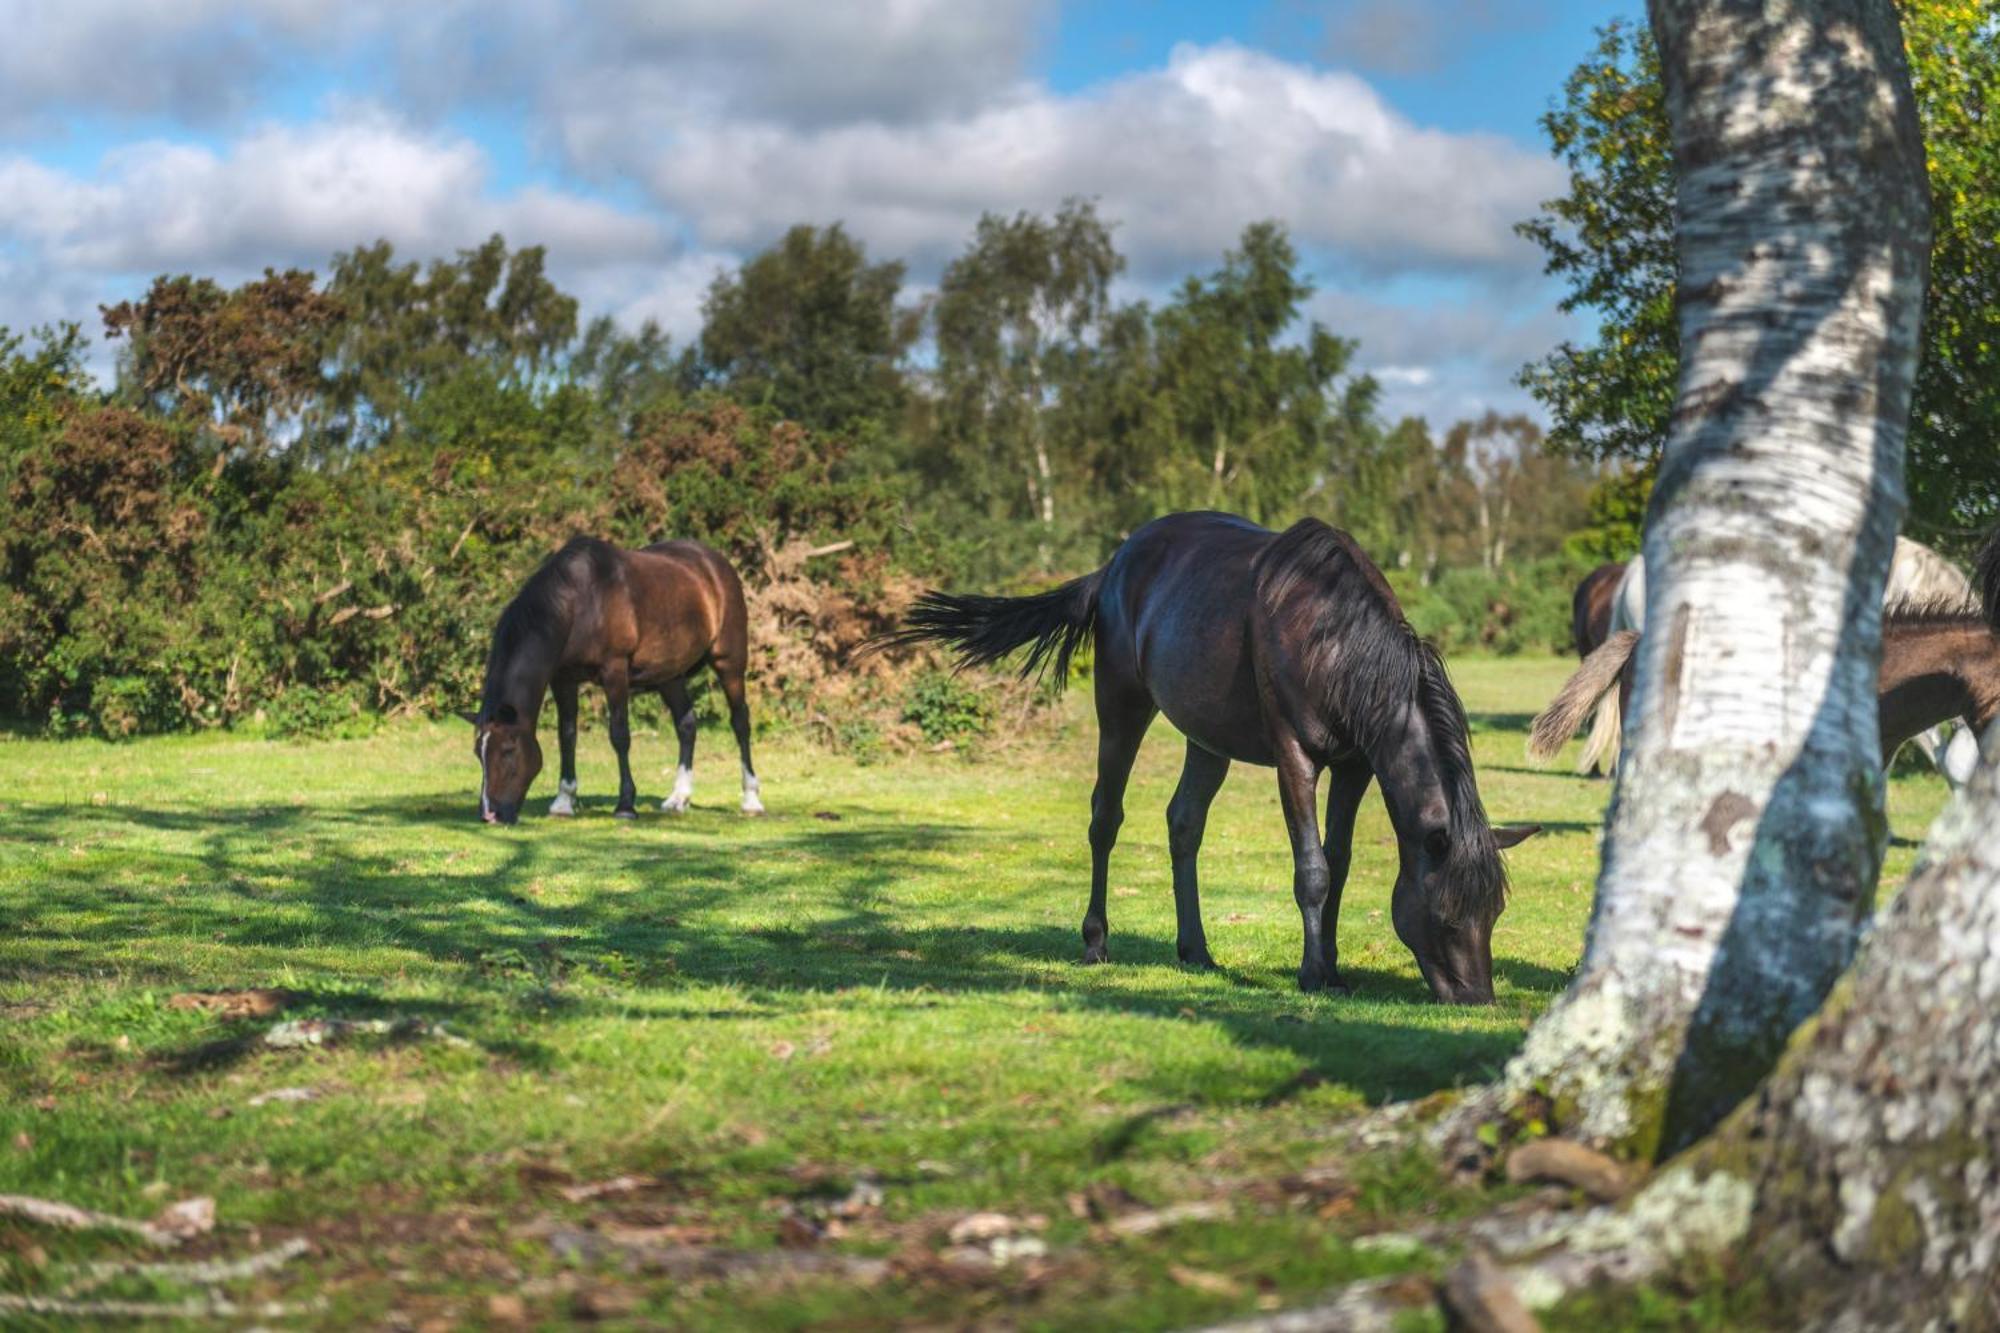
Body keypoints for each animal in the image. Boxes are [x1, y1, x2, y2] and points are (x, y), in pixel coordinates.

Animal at [464, 532, 760, 820]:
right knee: (686, 724)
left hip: (729, 662)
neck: (579, 603)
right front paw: (563, 802)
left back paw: (751, 800)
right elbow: (567, 736)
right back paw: (679, 798)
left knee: (740, 722)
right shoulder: (563, 679)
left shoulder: (615, 671)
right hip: (669, 675)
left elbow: (619, 735)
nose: (490, 814)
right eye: (478, 754)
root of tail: (714, 562)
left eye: (508, 750)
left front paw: (625, 805)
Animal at [884, 508, 1536, 996]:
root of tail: (1113, 566)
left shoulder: (1354, 766)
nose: (1478, 999)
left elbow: (1341, 862)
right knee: (1105, 819)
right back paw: (1096, 942)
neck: (1335, 639)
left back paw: (1195, 950)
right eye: (1448, 914)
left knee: (1184, 823)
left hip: (1206, 739)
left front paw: (1332, 966)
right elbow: (1313, 870)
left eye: (1496, 913)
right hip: (1121, 706)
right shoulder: (1295, 757)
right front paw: (1312, 973)